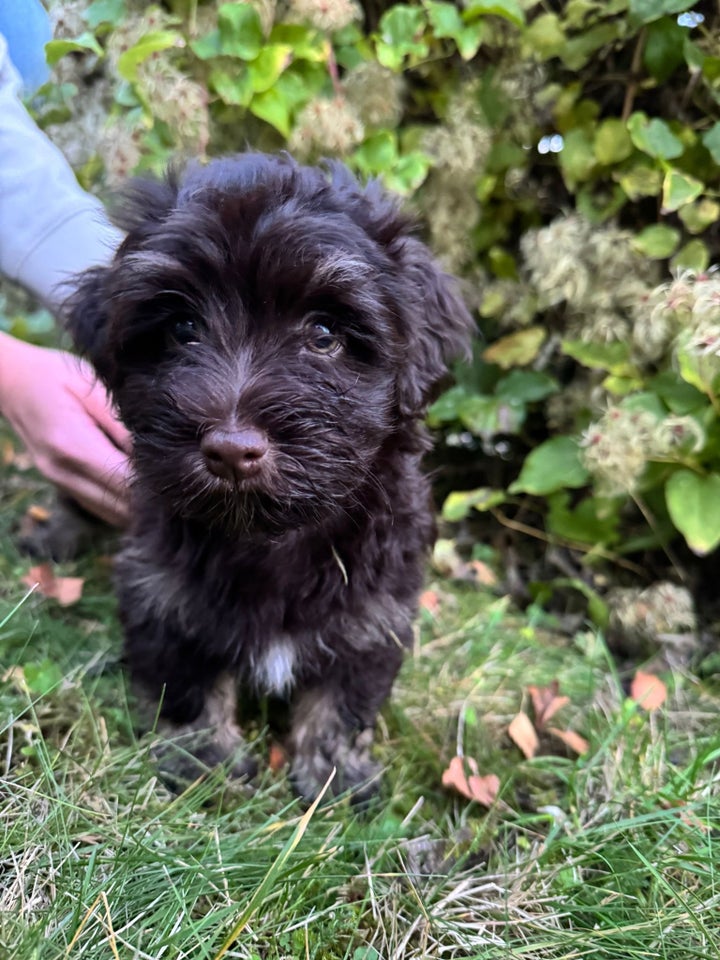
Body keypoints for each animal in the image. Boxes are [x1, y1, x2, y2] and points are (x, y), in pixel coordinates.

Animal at [64, 156, 472, 804]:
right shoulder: (164, 591)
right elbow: (186, 678)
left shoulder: (372, 610)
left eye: (324, 334)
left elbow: (342, 697)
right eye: (182, 328)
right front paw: (202, 760)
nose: (231, 450)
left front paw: (334, 774)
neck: (270, 537)